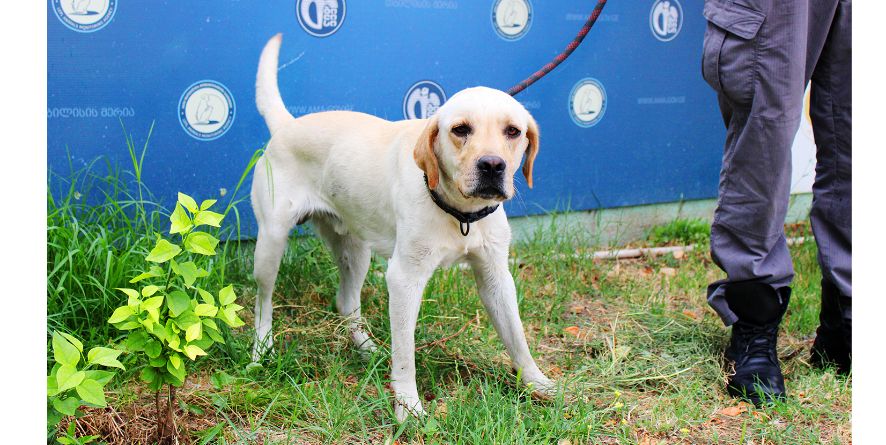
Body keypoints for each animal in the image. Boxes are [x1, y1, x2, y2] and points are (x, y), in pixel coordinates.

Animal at [250, 35, 556, 420]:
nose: (492, 165)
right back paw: (261, 351)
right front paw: (408, 407)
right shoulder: (404, 279)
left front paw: (536, 383)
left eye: (513, 131)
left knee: (346, 302)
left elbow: (517, 338)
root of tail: (288, 125)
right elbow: (405, 356)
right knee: (263, 303)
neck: (459, 214)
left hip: (356, 250)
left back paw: (366, 348)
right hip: (271, 245)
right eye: (460, 129)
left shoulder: (496, 277)